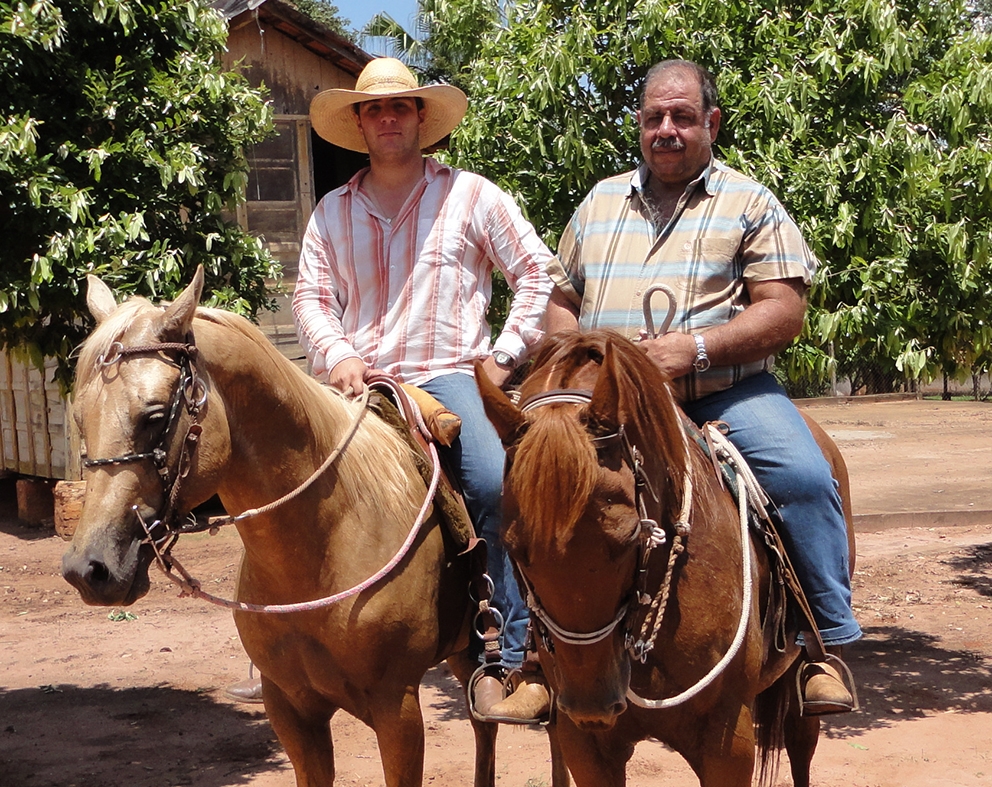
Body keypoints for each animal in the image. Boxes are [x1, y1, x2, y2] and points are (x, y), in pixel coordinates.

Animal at [60, 268, 560, 784]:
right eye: (79, 416)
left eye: (155, 415)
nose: (89, 568)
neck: (324, 543)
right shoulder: (290, 710)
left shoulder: (397, 707)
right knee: (484, 726)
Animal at [472, 328, 852, 787]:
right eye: (512, 547)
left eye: (630, 536)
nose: (593, 701)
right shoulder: (585, 743)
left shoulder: (728, 740)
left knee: (801, 741)